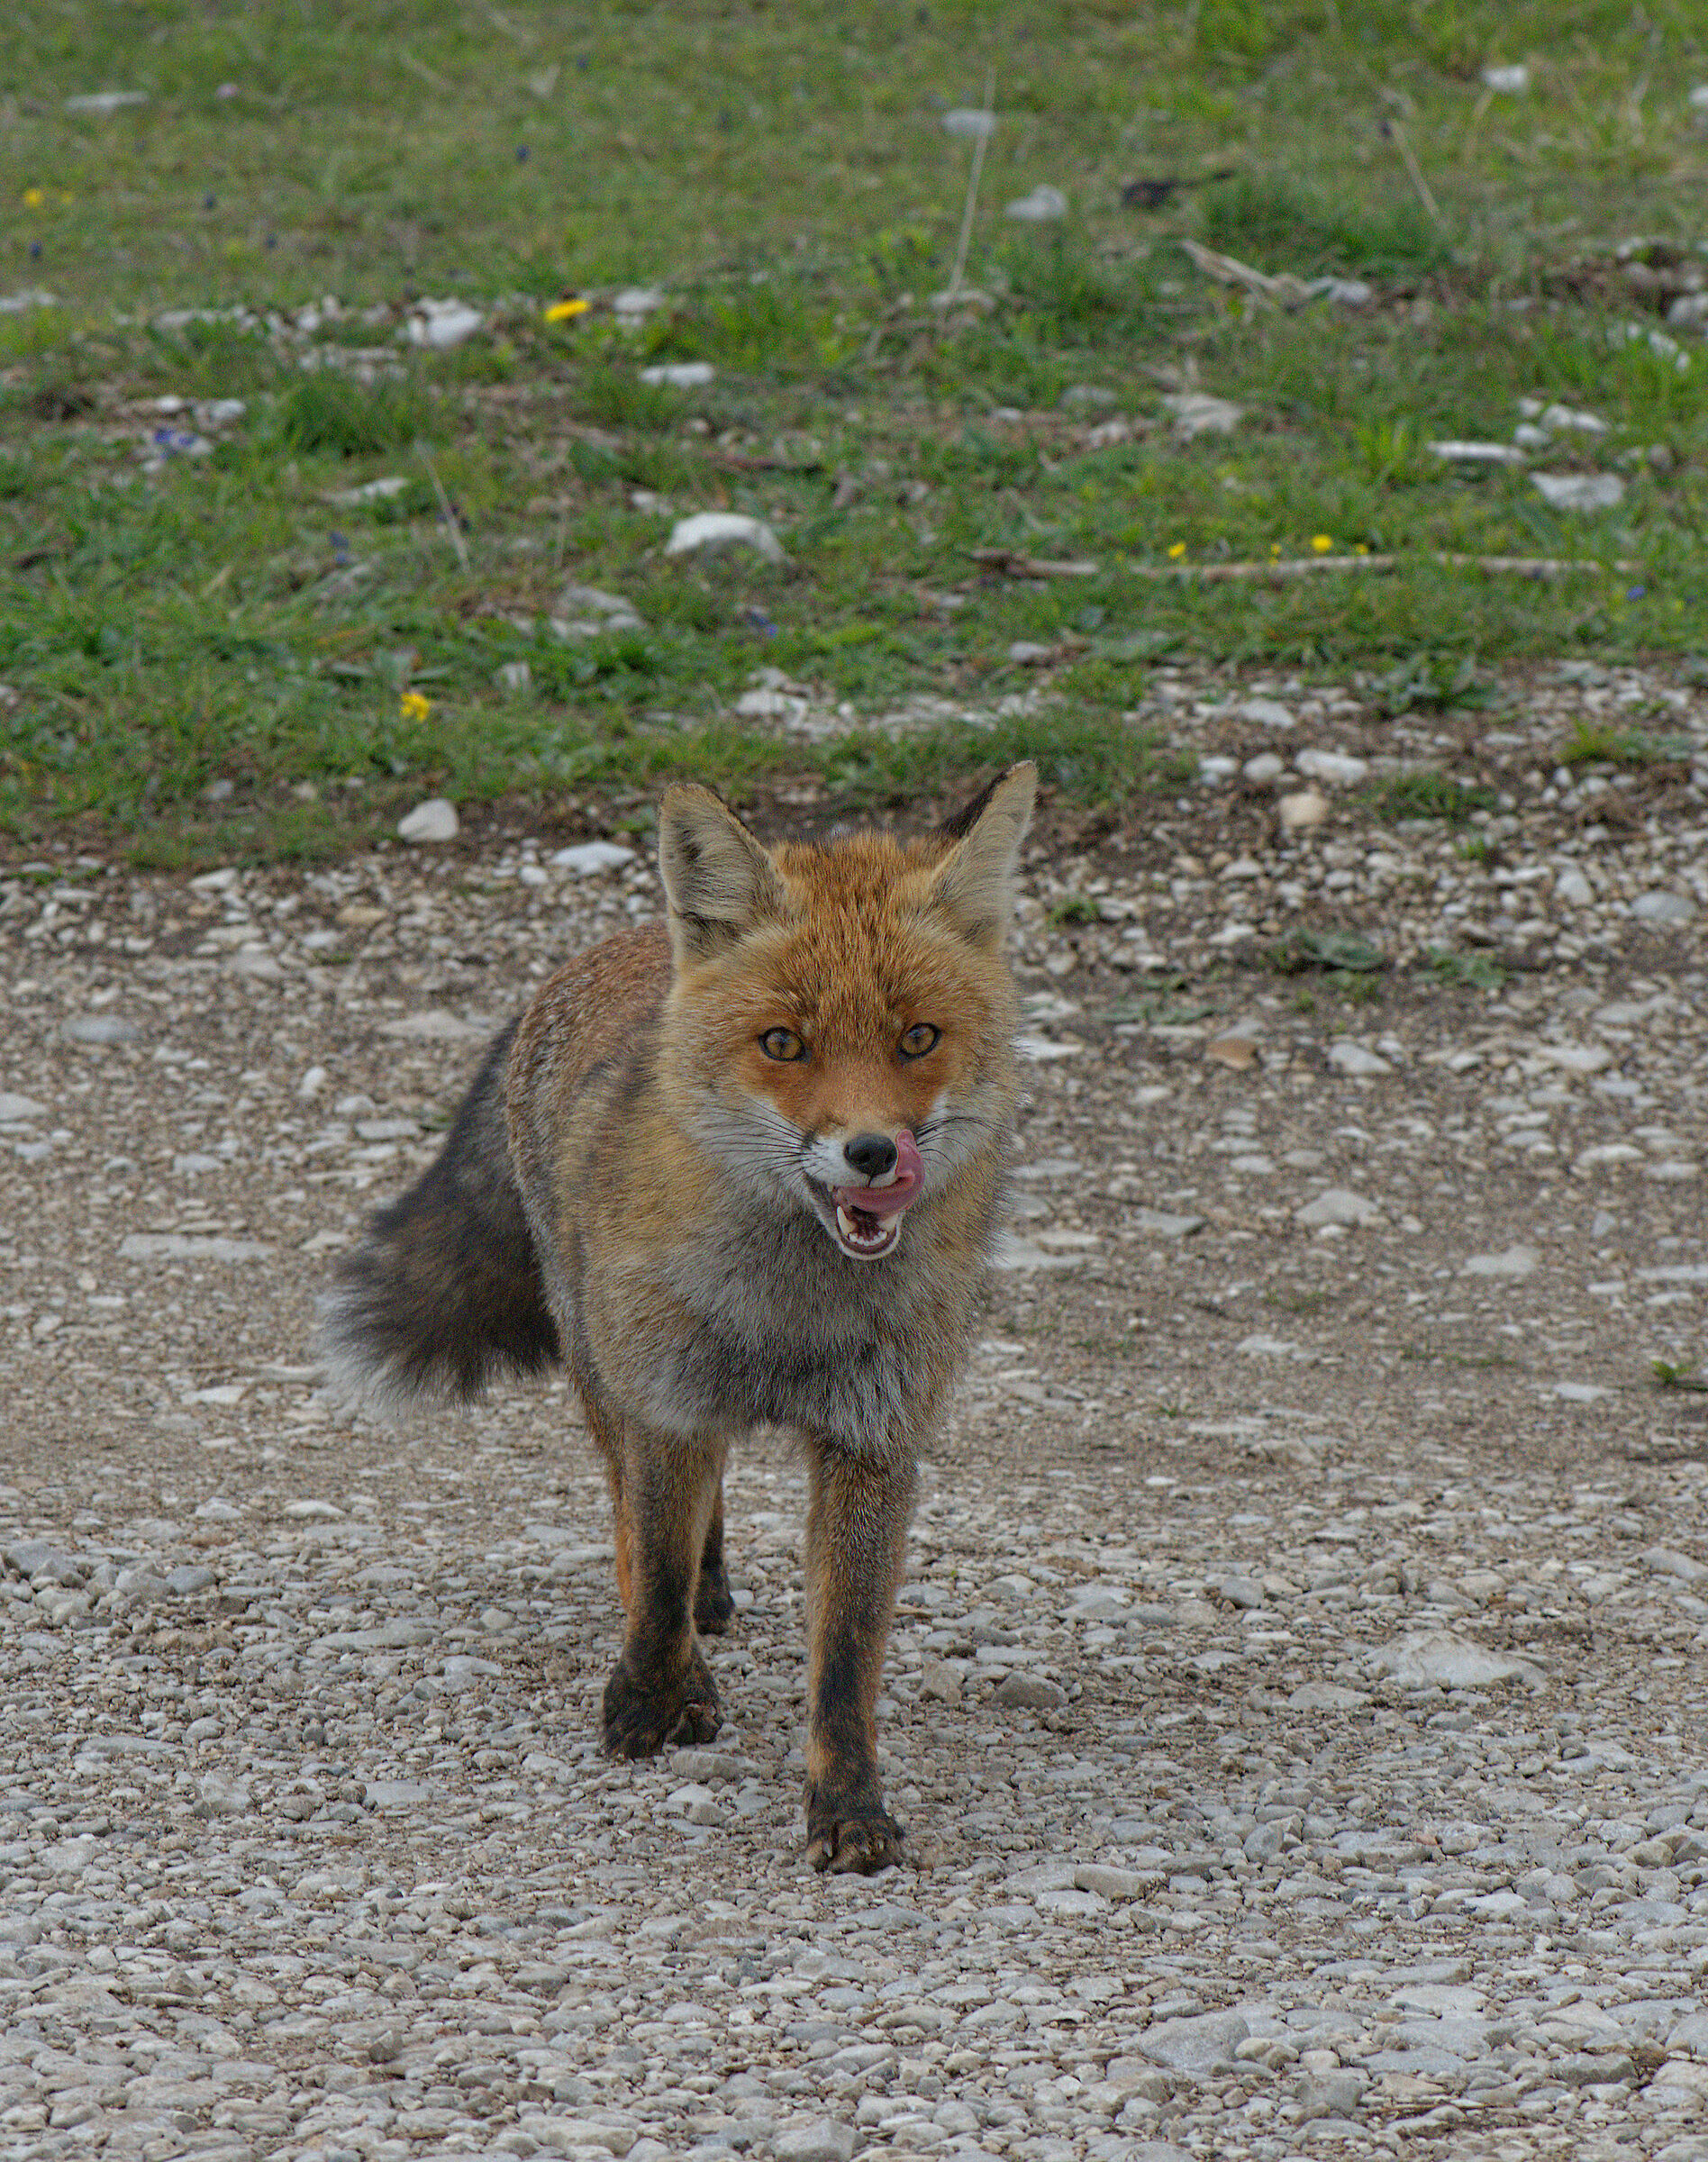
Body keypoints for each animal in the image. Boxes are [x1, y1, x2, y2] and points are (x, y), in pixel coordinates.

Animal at [318, 762, 1036, 1873]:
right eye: (784, 1043)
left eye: (918, 1038)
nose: (875, 1154)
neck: (791, 1315)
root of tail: (621, 943)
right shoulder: (665, 1402)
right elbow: (649, 1573)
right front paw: (650, 1703)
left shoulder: (874, 1441)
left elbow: (844, 1658)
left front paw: (848, 1807)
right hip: (599, 1360)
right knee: (633, 1521)